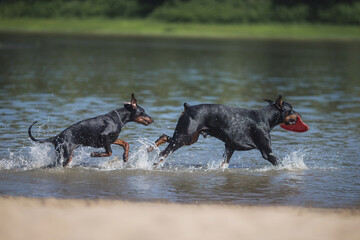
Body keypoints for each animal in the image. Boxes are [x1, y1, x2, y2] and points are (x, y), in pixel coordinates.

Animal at [148, 95, 300, 167]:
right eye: (291, 109)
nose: (299, 114)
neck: (265, 118)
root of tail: (188, 107)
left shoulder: (230, 147)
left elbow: (223, 164)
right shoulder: (267, 153)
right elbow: (281, 164)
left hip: (188, 138)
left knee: (164, 137)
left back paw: (150, 147)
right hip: (182, 137)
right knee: (163, 153)